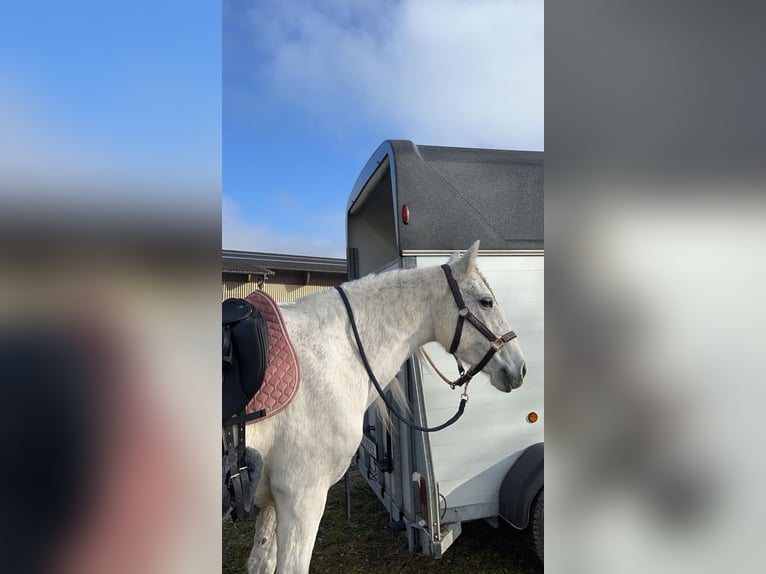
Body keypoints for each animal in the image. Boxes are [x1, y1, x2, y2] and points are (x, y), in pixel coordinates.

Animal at [243, 241, 524, 572]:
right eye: (486, 302)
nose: (520, 368)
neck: (335, 352)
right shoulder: (300, 496)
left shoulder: (272, 501)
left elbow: (260, 562)